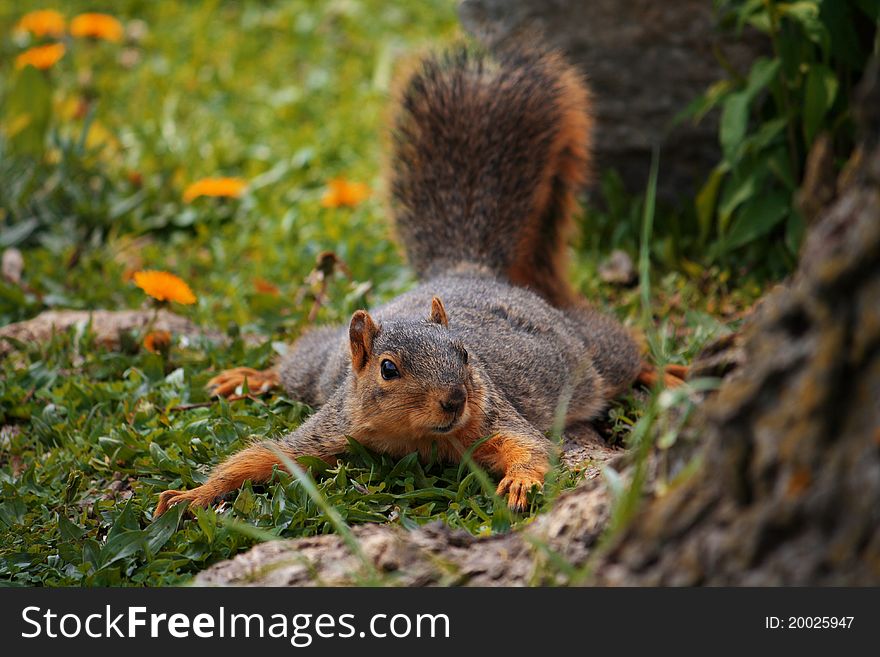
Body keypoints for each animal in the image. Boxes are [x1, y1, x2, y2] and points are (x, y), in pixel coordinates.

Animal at [158, 46, 668, 516]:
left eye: (465, 354)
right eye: (387, 369)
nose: (455, 399)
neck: (417, 439)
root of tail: (464, 269)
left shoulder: (496, 417)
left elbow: (530, 445)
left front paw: (522, 481)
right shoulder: (333, 426)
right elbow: (265, 455)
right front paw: (194, 494)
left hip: (591, 352)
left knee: (623, 353)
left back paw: (664, 372)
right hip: (321, 368)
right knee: (297, 364)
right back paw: (249, 376)